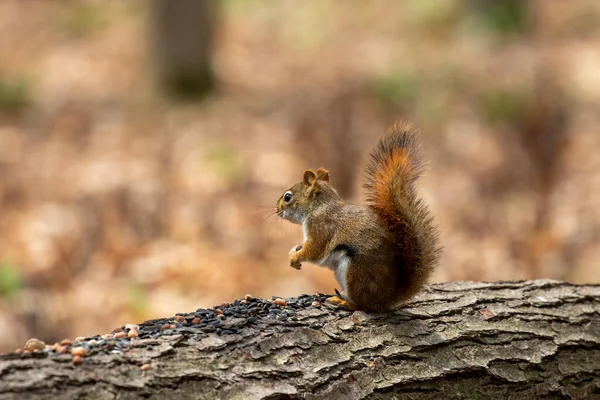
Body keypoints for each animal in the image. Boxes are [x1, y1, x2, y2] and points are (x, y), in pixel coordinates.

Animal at [276, 123, 440, 310]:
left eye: (287, 197)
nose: (277, 209)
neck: (318, 206)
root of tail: (387, 298)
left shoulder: (321, 227)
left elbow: (314, 250)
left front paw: (296, 256)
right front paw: (293, 252)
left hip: (355, 271)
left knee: (363, 305)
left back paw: (344, 302)